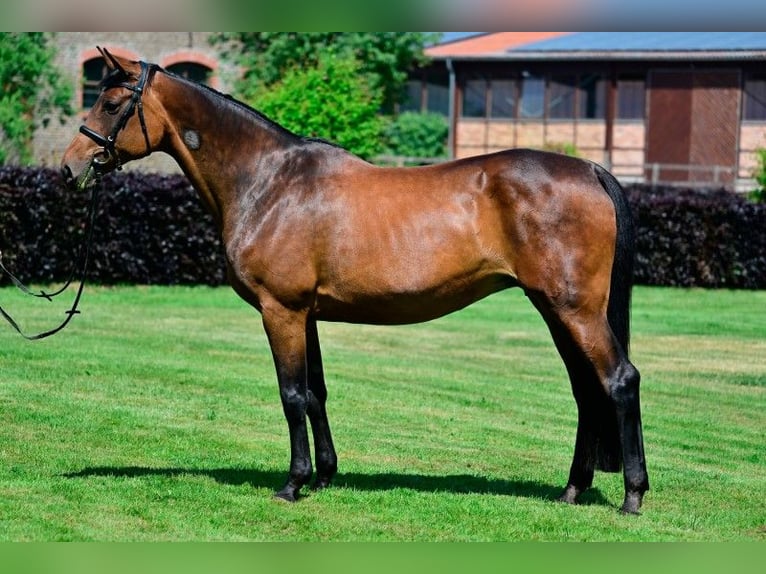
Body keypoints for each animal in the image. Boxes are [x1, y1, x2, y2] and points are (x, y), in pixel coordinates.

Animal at [61, 48, 648, 514]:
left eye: (110, 104)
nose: (70, 167)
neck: (269, 181)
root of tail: (589, 170)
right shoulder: (307, 314)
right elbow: (316, 392)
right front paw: (324, 476)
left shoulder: (281, 310)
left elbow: (291, 394)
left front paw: (293, 484)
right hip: (555, 309)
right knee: (586, 389)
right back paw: (571, 490)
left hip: (574, 310)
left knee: (619, 380)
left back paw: (632, 496)